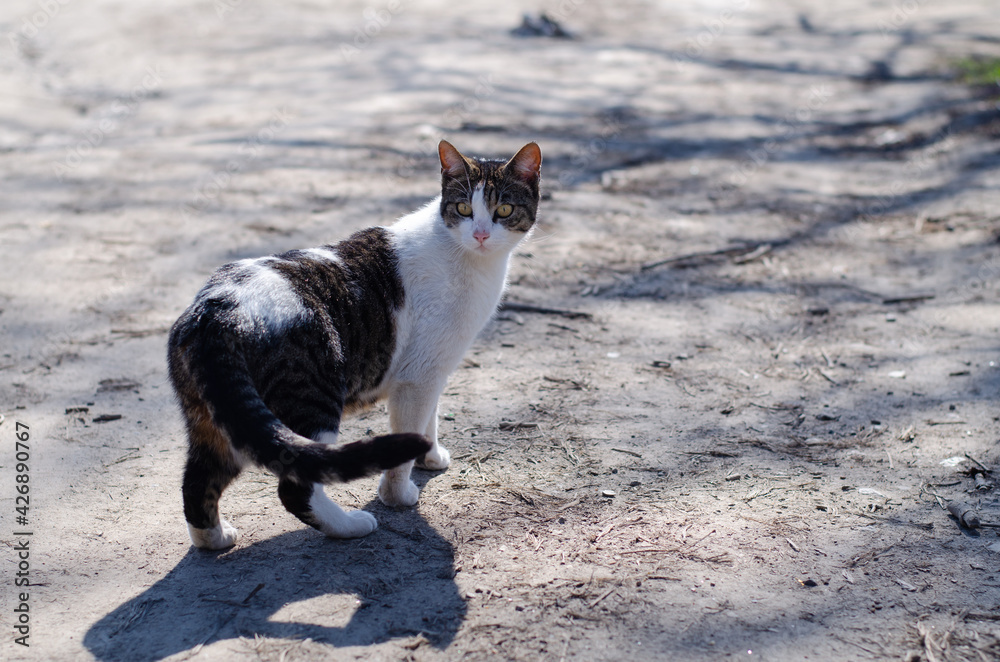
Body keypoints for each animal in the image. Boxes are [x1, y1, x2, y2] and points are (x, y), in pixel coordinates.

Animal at [166, 143, 540, 552]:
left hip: (219, 420)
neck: (468, 258)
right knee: (294, 486)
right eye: (463, 209)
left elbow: (431, 417)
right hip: (312, 400)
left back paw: (215, 538)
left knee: (197, 481)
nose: (481, 235)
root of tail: (218, 308)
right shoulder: (418, 375)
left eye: (503, 210)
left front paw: (429, 455)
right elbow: (411, 432)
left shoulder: (434, 368)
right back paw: (349, 525)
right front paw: (398, 495)